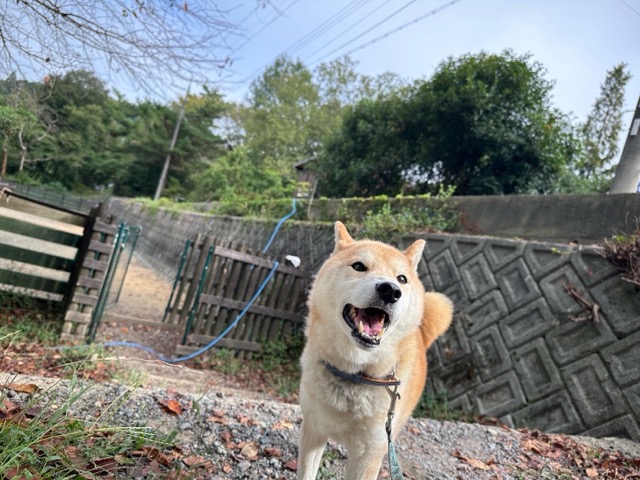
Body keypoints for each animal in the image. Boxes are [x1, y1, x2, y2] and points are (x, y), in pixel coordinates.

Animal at [297, 221, 454, 480]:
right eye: (359, 266)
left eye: (401, 278)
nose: (390, 290)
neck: (355, 374)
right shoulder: (313, 431)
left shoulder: (369, 453)